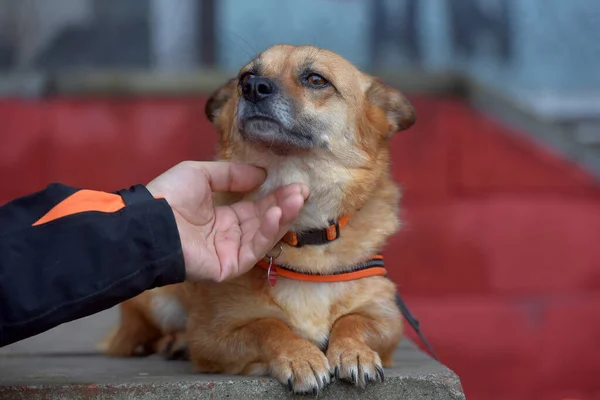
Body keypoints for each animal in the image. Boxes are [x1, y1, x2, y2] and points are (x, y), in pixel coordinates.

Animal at [103, 44, 418, 394]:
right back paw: (175, 342)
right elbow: (268, 325)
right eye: (246, 77)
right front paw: (300, 356)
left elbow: (354, 320)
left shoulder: (386, 317)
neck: (305, 235)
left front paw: (354, 351)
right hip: (160, 300)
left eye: (316, 79)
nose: (253, 88)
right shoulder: (213, 333)